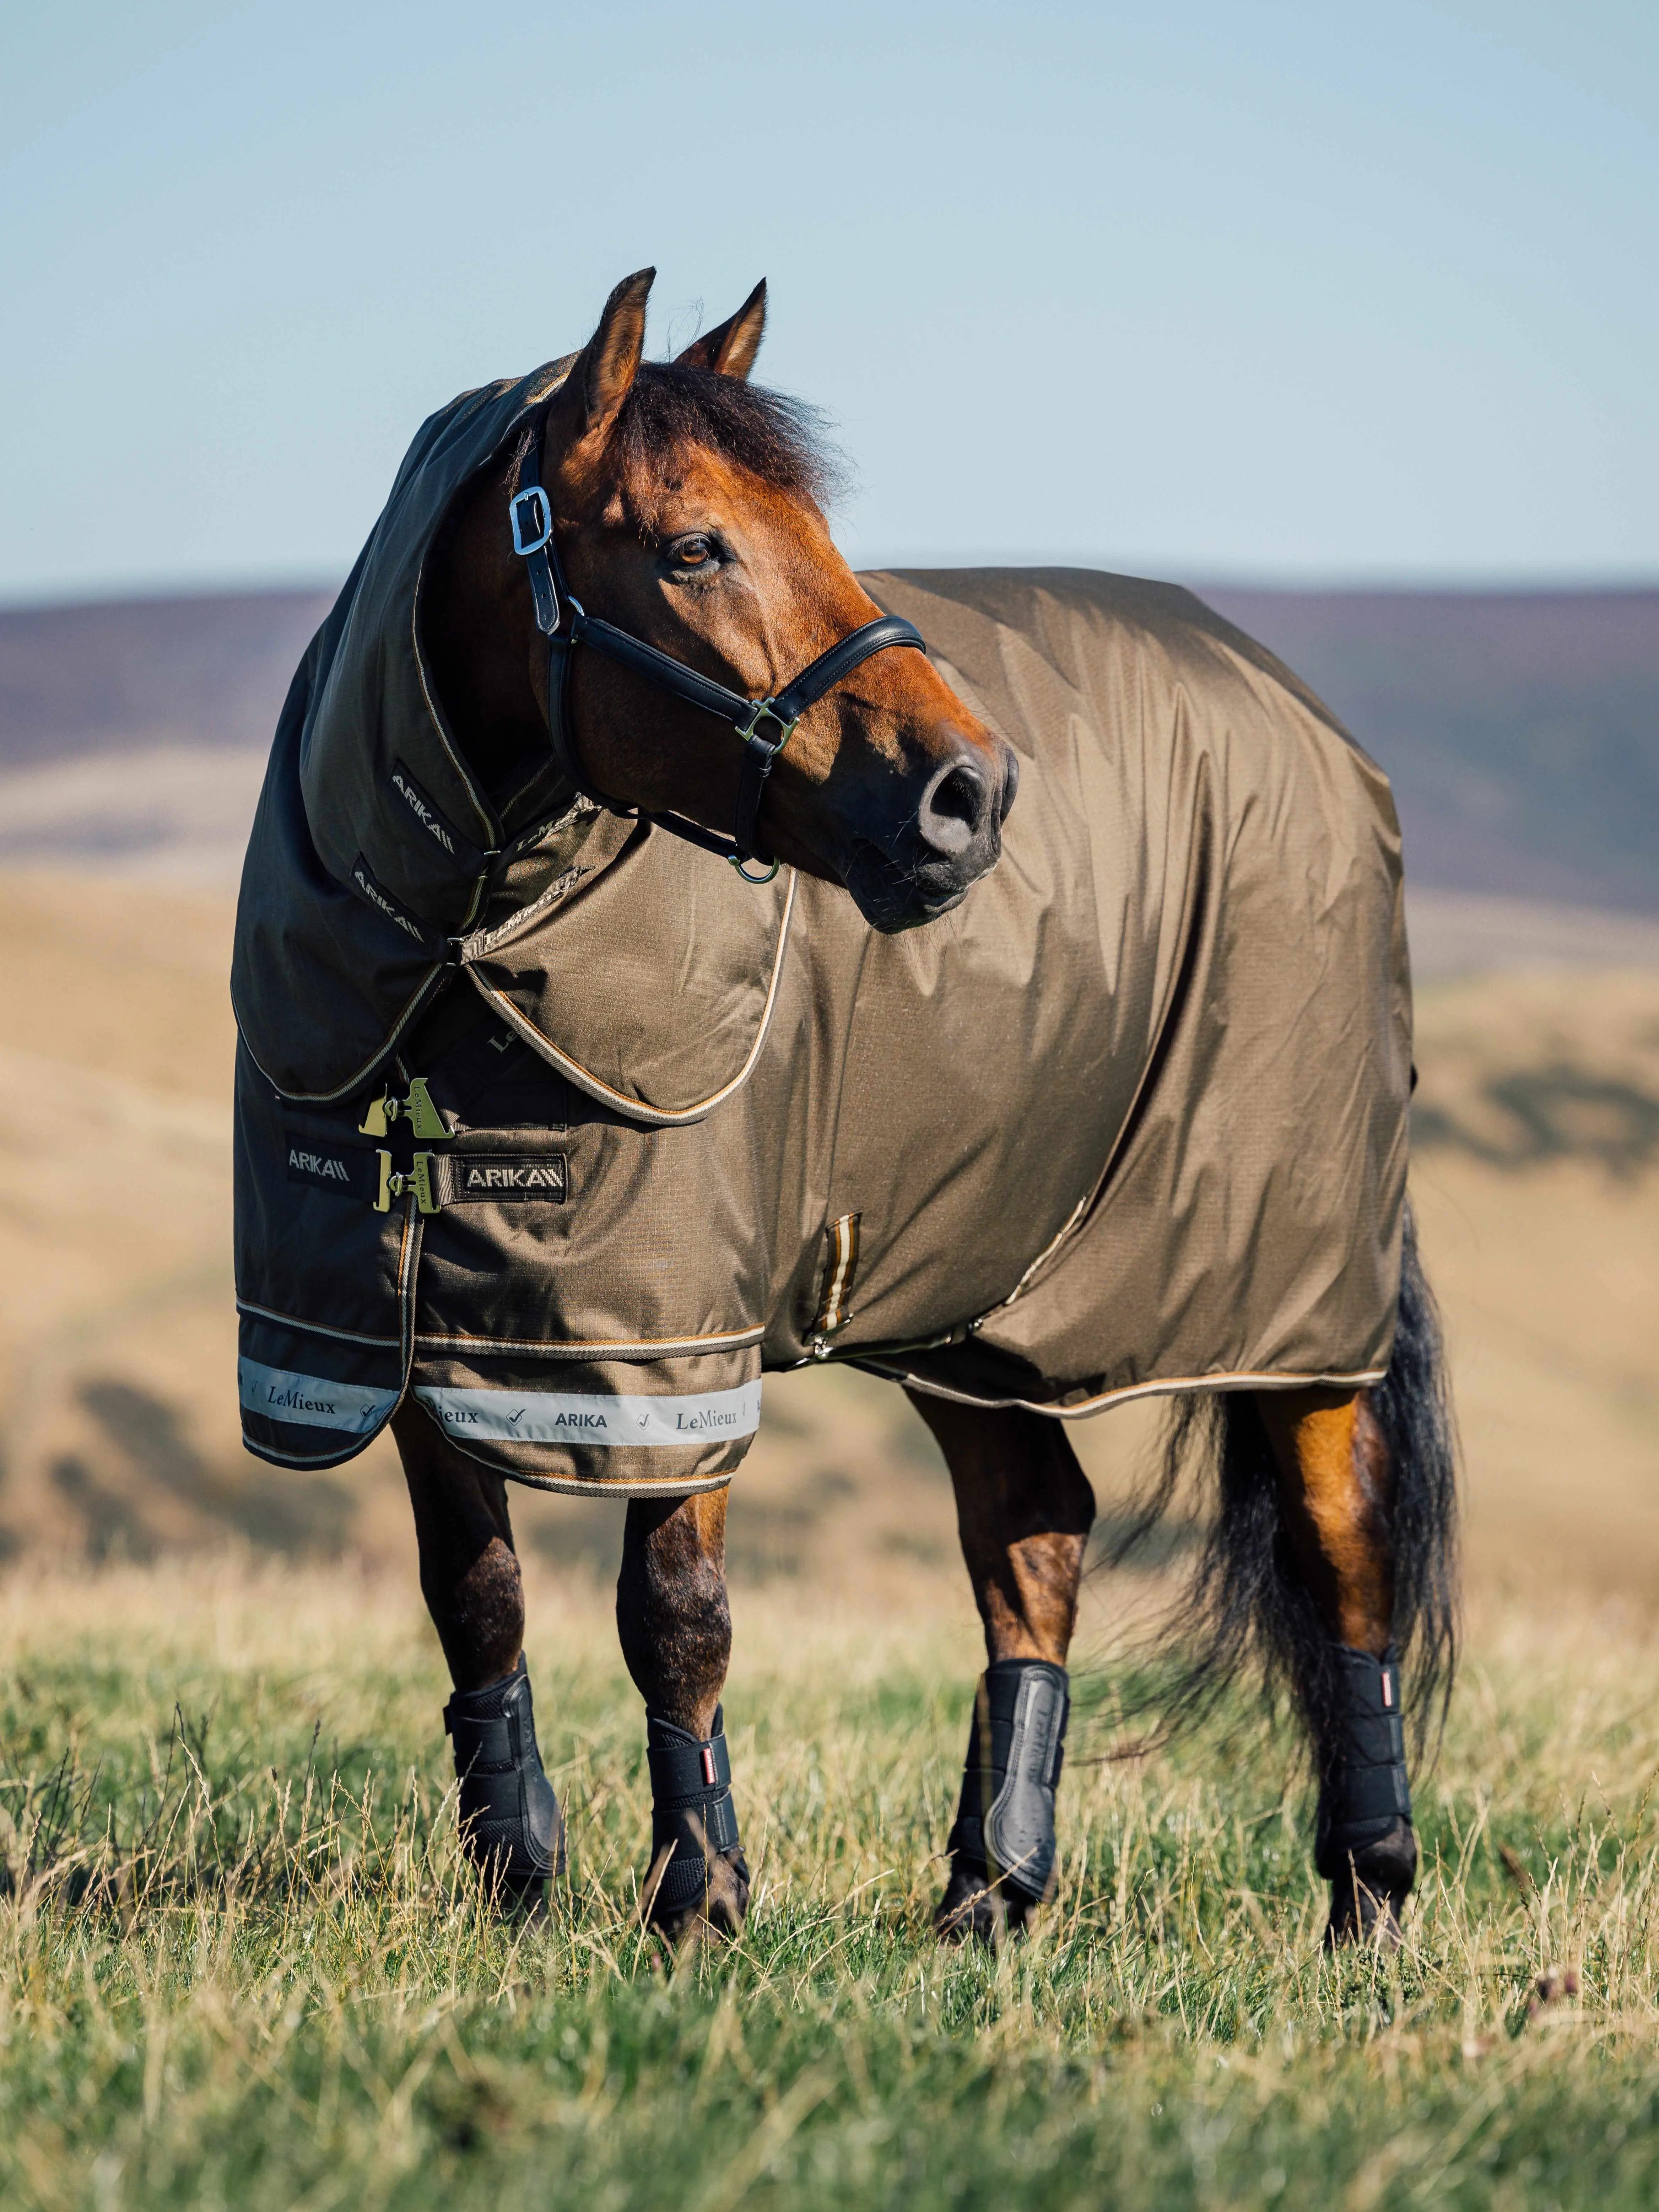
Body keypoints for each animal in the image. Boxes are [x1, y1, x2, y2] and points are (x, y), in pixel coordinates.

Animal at [231, 267, 1457, 1952]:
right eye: (692, 546)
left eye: (819, 525)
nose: (970, 795)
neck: (454, 950)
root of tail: (1307, 723)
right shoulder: (397, 1334)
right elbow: (473, 1597)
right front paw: (519, 1881)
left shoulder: (666, 1346)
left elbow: (673, 1615)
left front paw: (697, 1900)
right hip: (988, 1297)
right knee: (1035, 1534)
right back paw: (989, 1894)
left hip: (1289, 1293)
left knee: (1342, 1548)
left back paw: (1366, 1894)